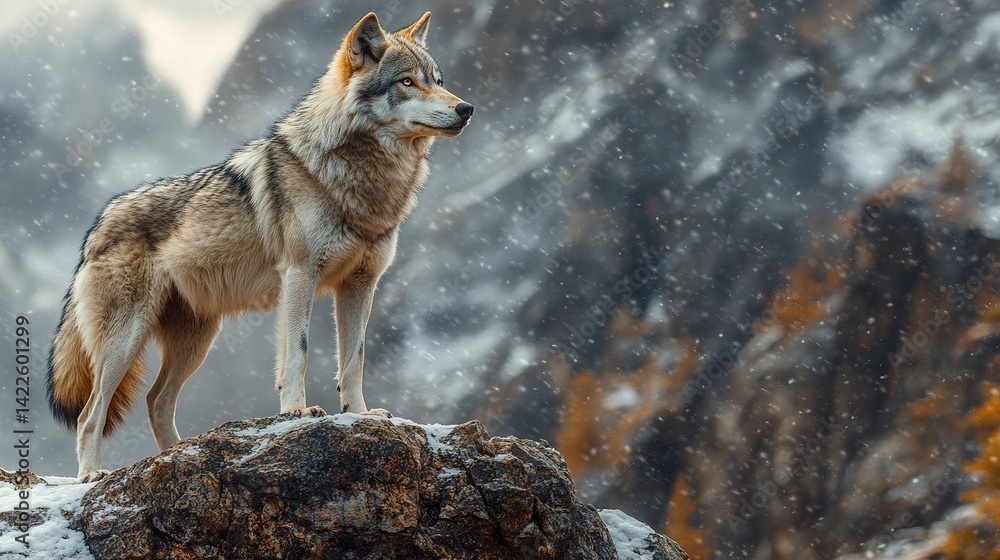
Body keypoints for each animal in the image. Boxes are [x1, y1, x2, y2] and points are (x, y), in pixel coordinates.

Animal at [46, 11, 473, 482]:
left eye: (438, 80)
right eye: (407, 82)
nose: (466, 108)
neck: (361, 181)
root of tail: (96, 226)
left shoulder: (361, 284)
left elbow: (353, 360)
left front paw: (360, 415)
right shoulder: (300, 276)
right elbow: (298, 354)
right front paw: (297, 412)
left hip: (195, 342)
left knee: (156, 401)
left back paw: (177, 457)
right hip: (126, 341)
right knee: (90, 413)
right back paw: (92, 475)